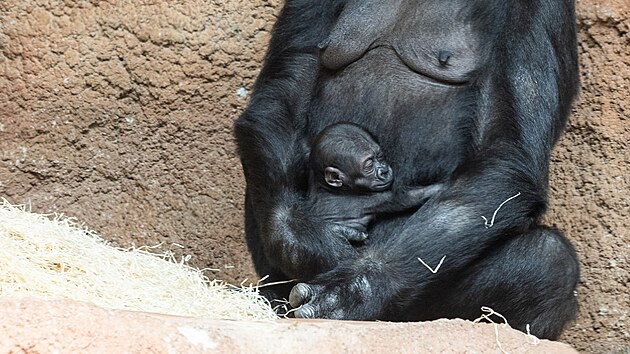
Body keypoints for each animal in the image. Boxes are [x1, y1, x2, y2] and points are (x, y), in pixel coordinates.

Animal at [308, 123, 444, 242]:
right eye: (369, 166)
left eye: (380, 157)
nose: (384, 171)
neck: (333, 189)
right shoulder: (364, 200)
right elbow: (403, 198)